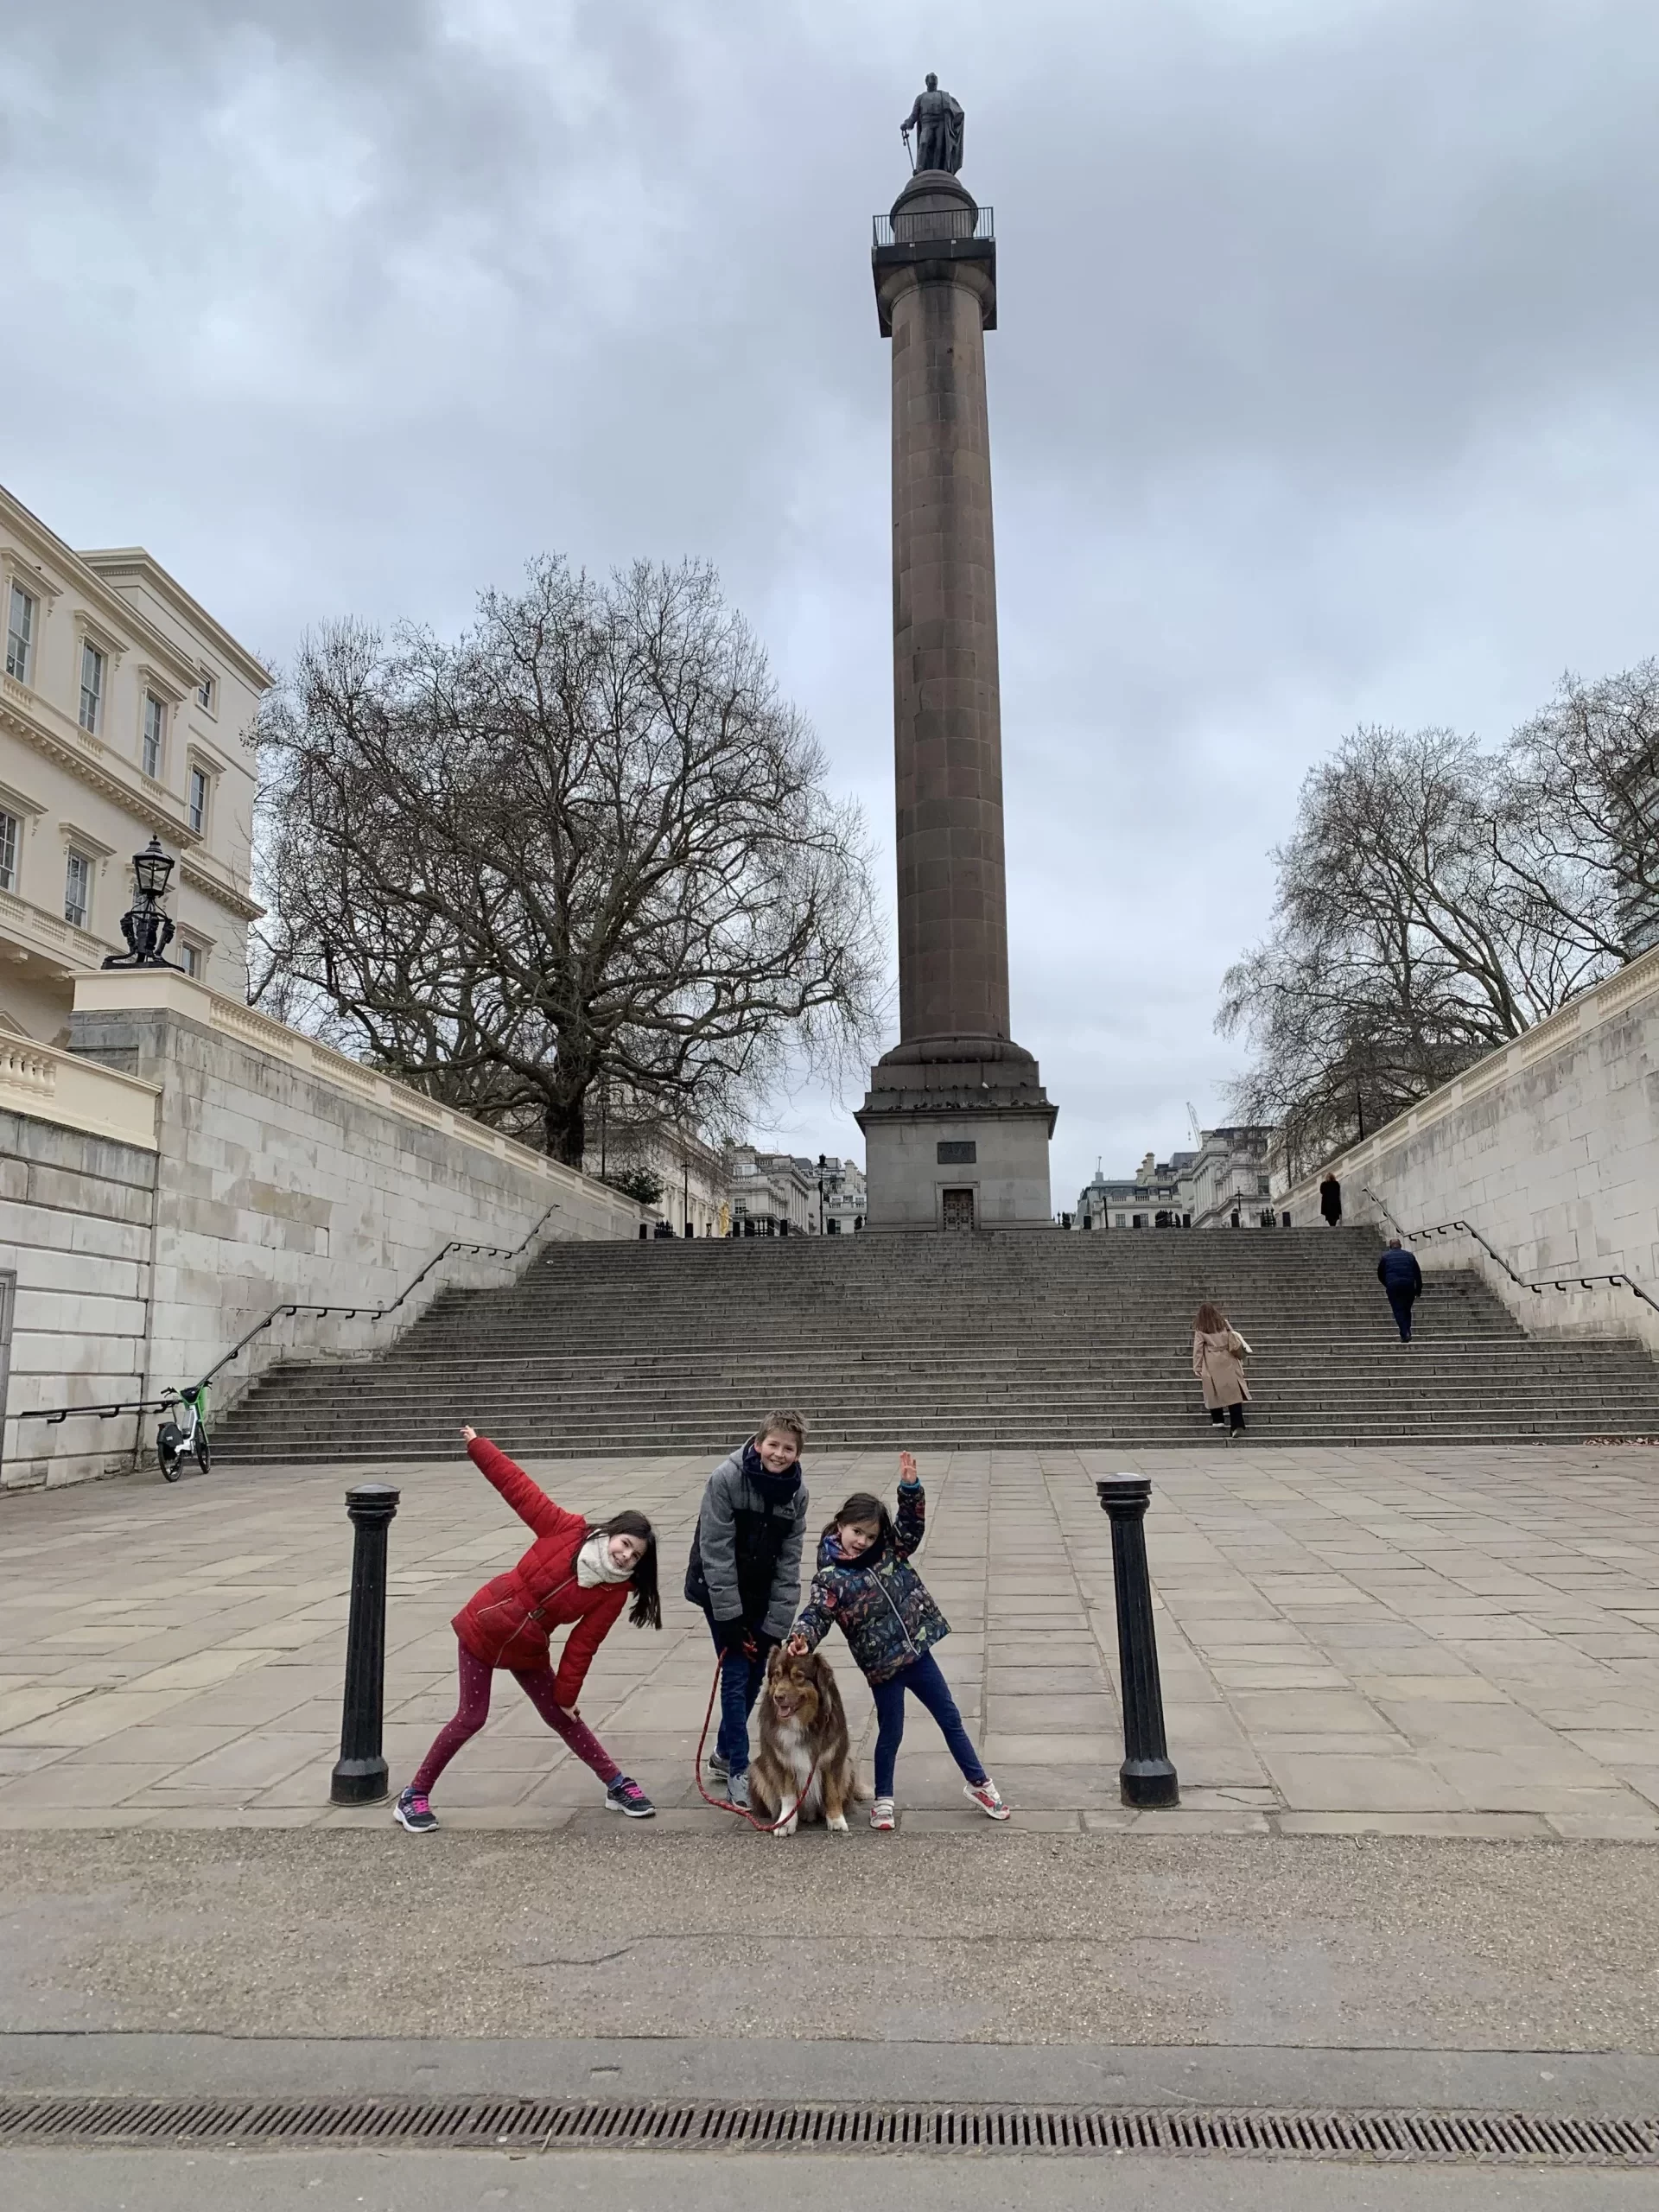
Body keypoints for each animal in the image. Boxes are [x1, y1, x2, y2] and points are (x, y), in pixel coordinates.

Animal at [752, 1645, 858, 1831]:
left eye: (799, 1676)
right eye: (777, 1674)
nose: (778, 1697)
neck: (803, 1722)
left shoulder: (834, 1758)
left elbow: (833, 1792)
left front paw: (836, 1820)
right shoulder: (781, 1761)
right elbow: (788, 1796)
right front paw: (785, 1823)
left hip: (848, 1766)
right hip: (756, 1770)